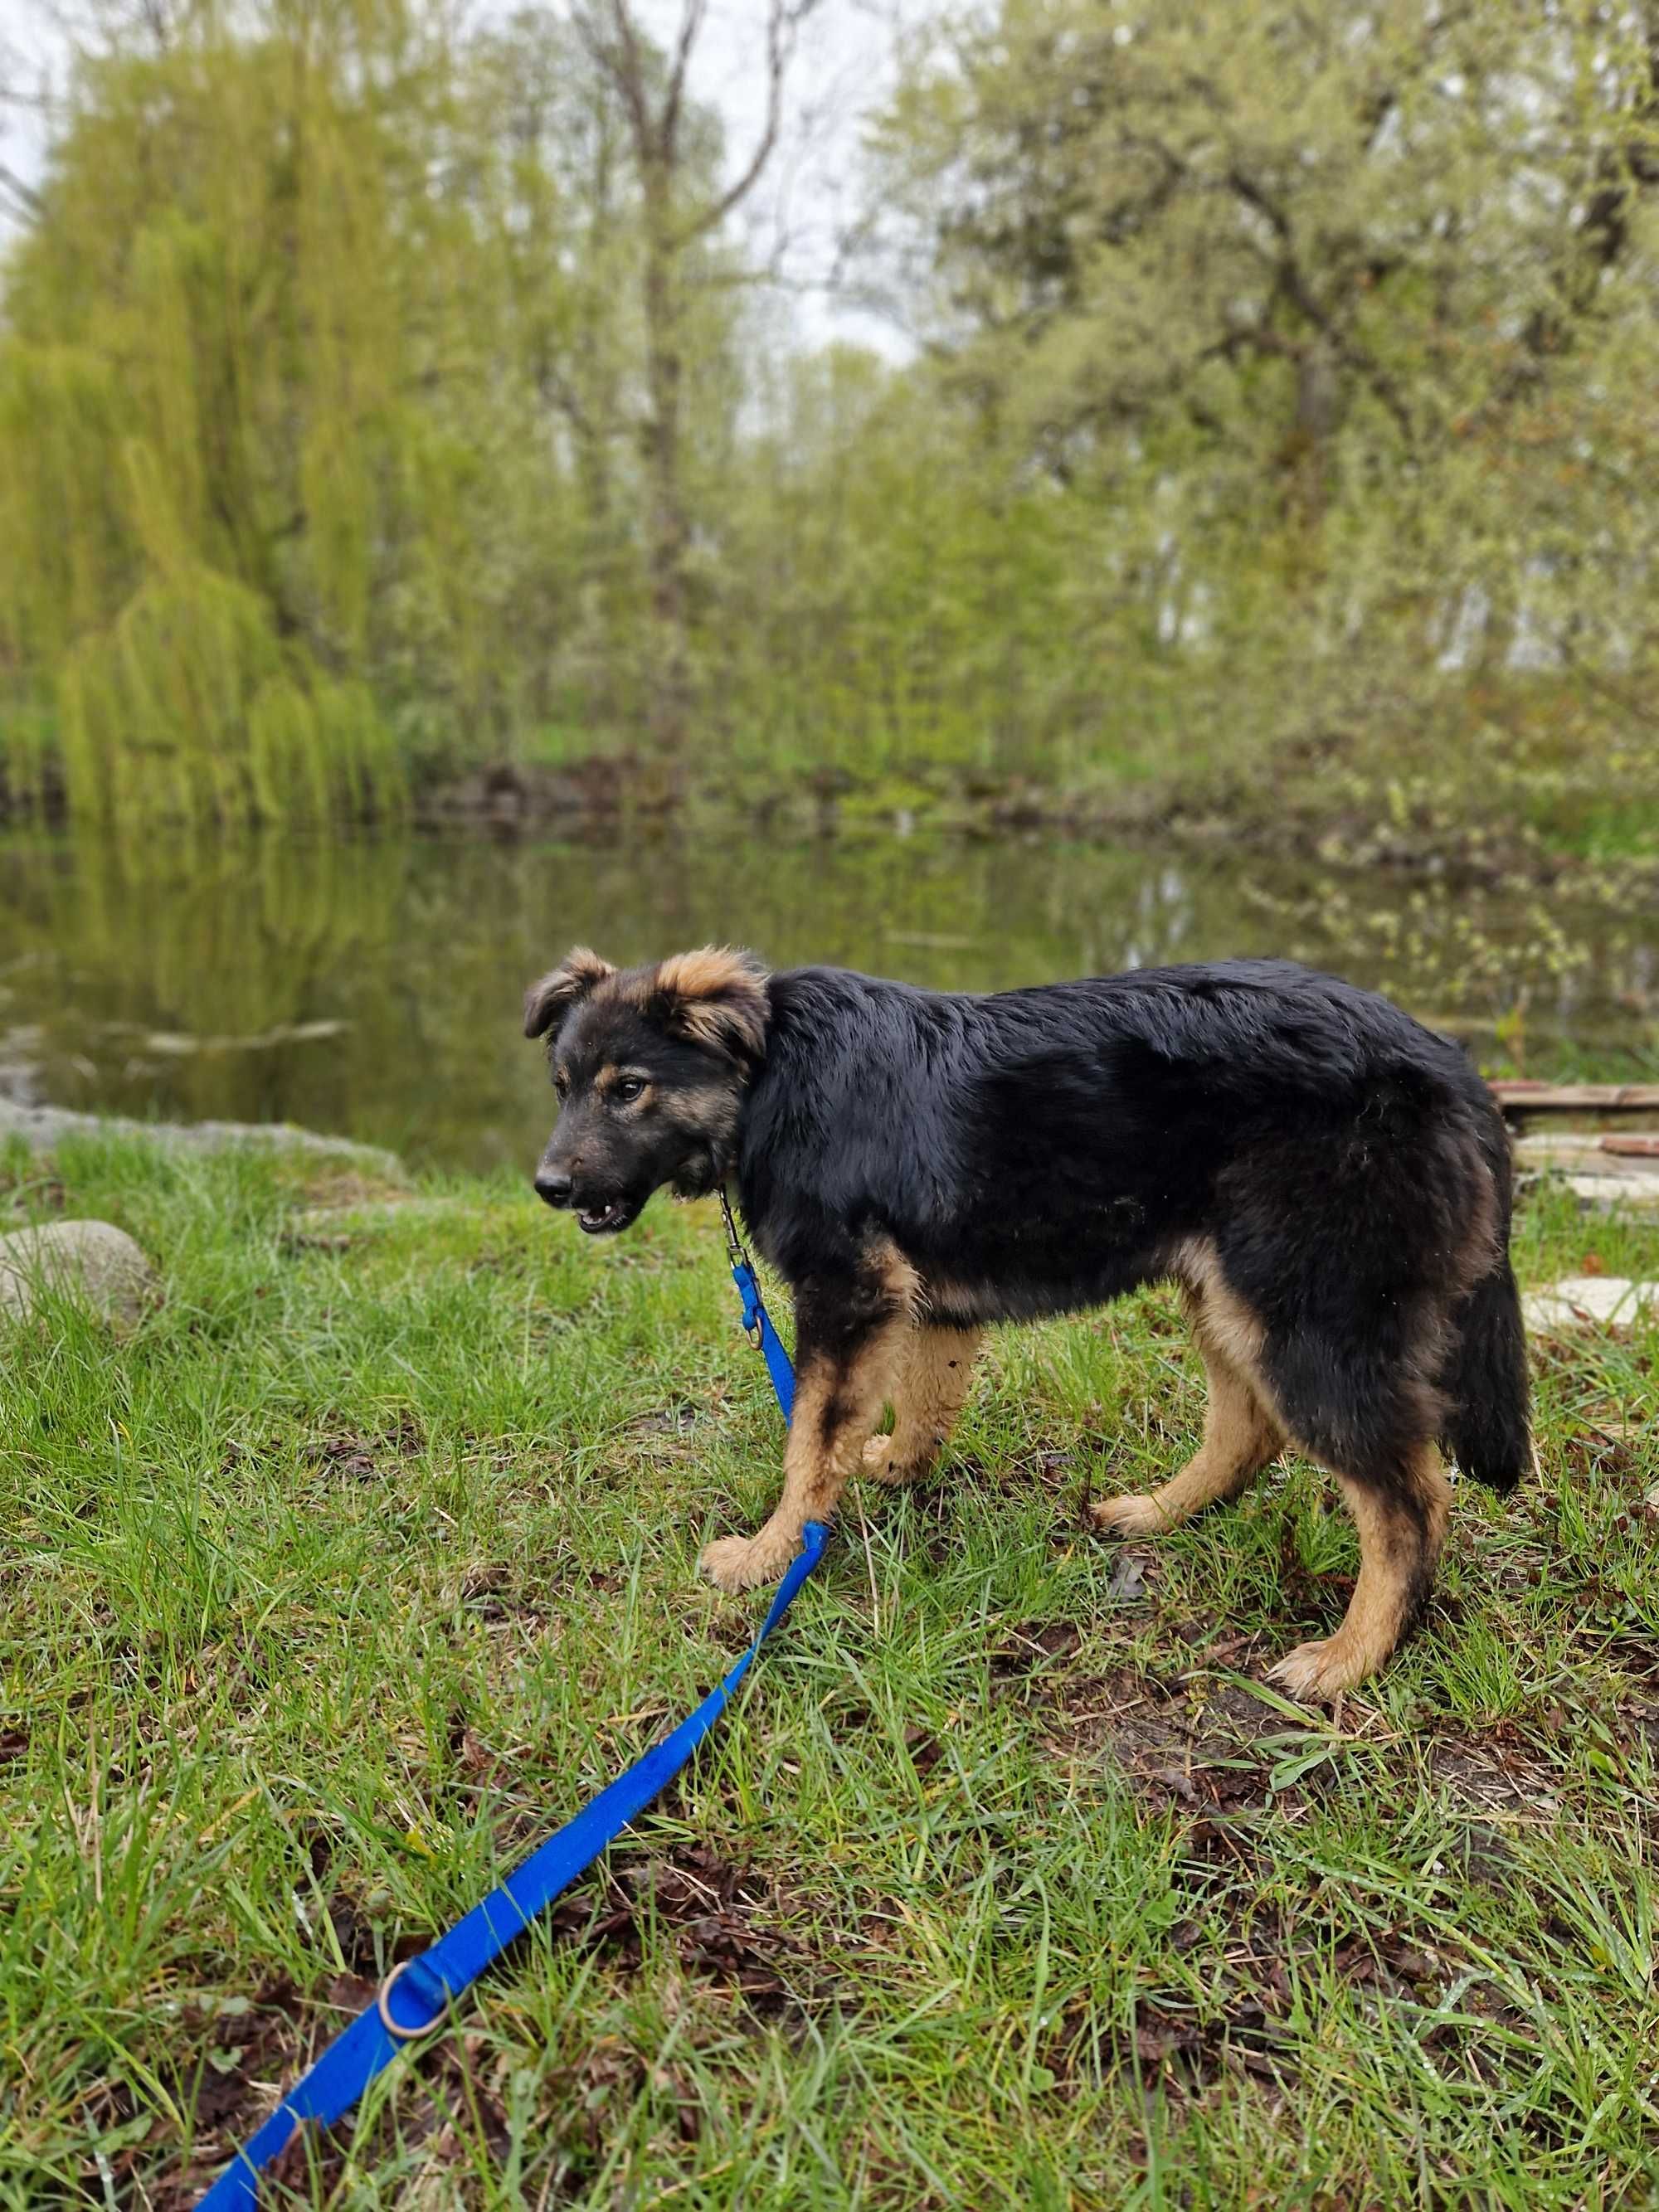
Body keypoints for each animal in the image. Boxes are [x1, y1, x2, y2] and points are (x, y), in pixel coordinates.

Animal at [528, 946, 1530, 1689]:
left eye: (628, 1088)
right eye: (563, 1085)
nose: (547, 1188)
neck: (767, 1072)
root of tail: (1453, 1070)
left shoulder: (847, 1292)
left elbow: (809, 1440)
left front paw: (770, 1557)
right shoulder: (919, 1297)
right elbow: (919, 1402)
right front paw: (893, 1467)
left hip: (1306, 1317)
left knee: (1408, 1502)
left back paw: (1349, 1659)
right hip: (1228, 1293)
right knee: (1249, 1431)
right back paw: (1159, 1514)